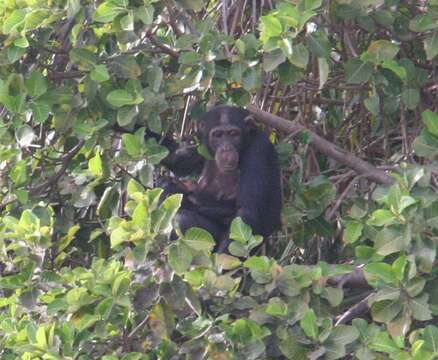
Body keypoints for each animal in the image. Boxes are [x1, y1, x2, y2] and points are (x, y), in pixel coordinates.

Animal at [166, 104, 282, 250]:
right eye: (218, 135)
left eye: (233, 134)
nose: (226, 147)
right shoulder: (200, 142)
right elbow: (176, 160)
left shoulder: (259, 150)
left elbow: (246, 212)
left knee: (182, 219)